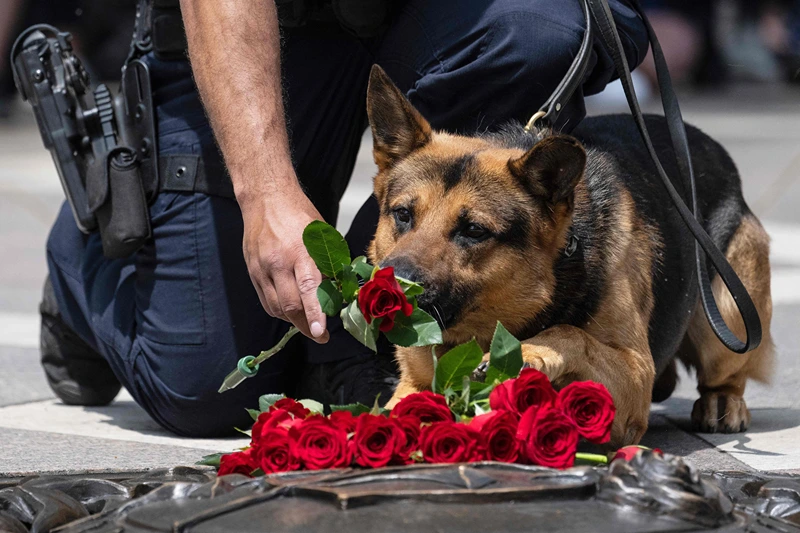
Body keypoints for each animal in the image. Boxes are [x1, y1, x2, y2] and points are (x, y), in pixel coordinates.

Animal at [366, 67, 772, 448]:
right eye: (403, 215)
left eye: (474, 231)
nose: (392, 287)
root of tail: (700, 139)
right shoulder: (412, 386)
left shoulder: (636, 374)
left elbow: (571, 333)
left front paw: (529, 353)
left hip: (724, 315)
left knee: (724, 373)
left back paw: (723, 402)